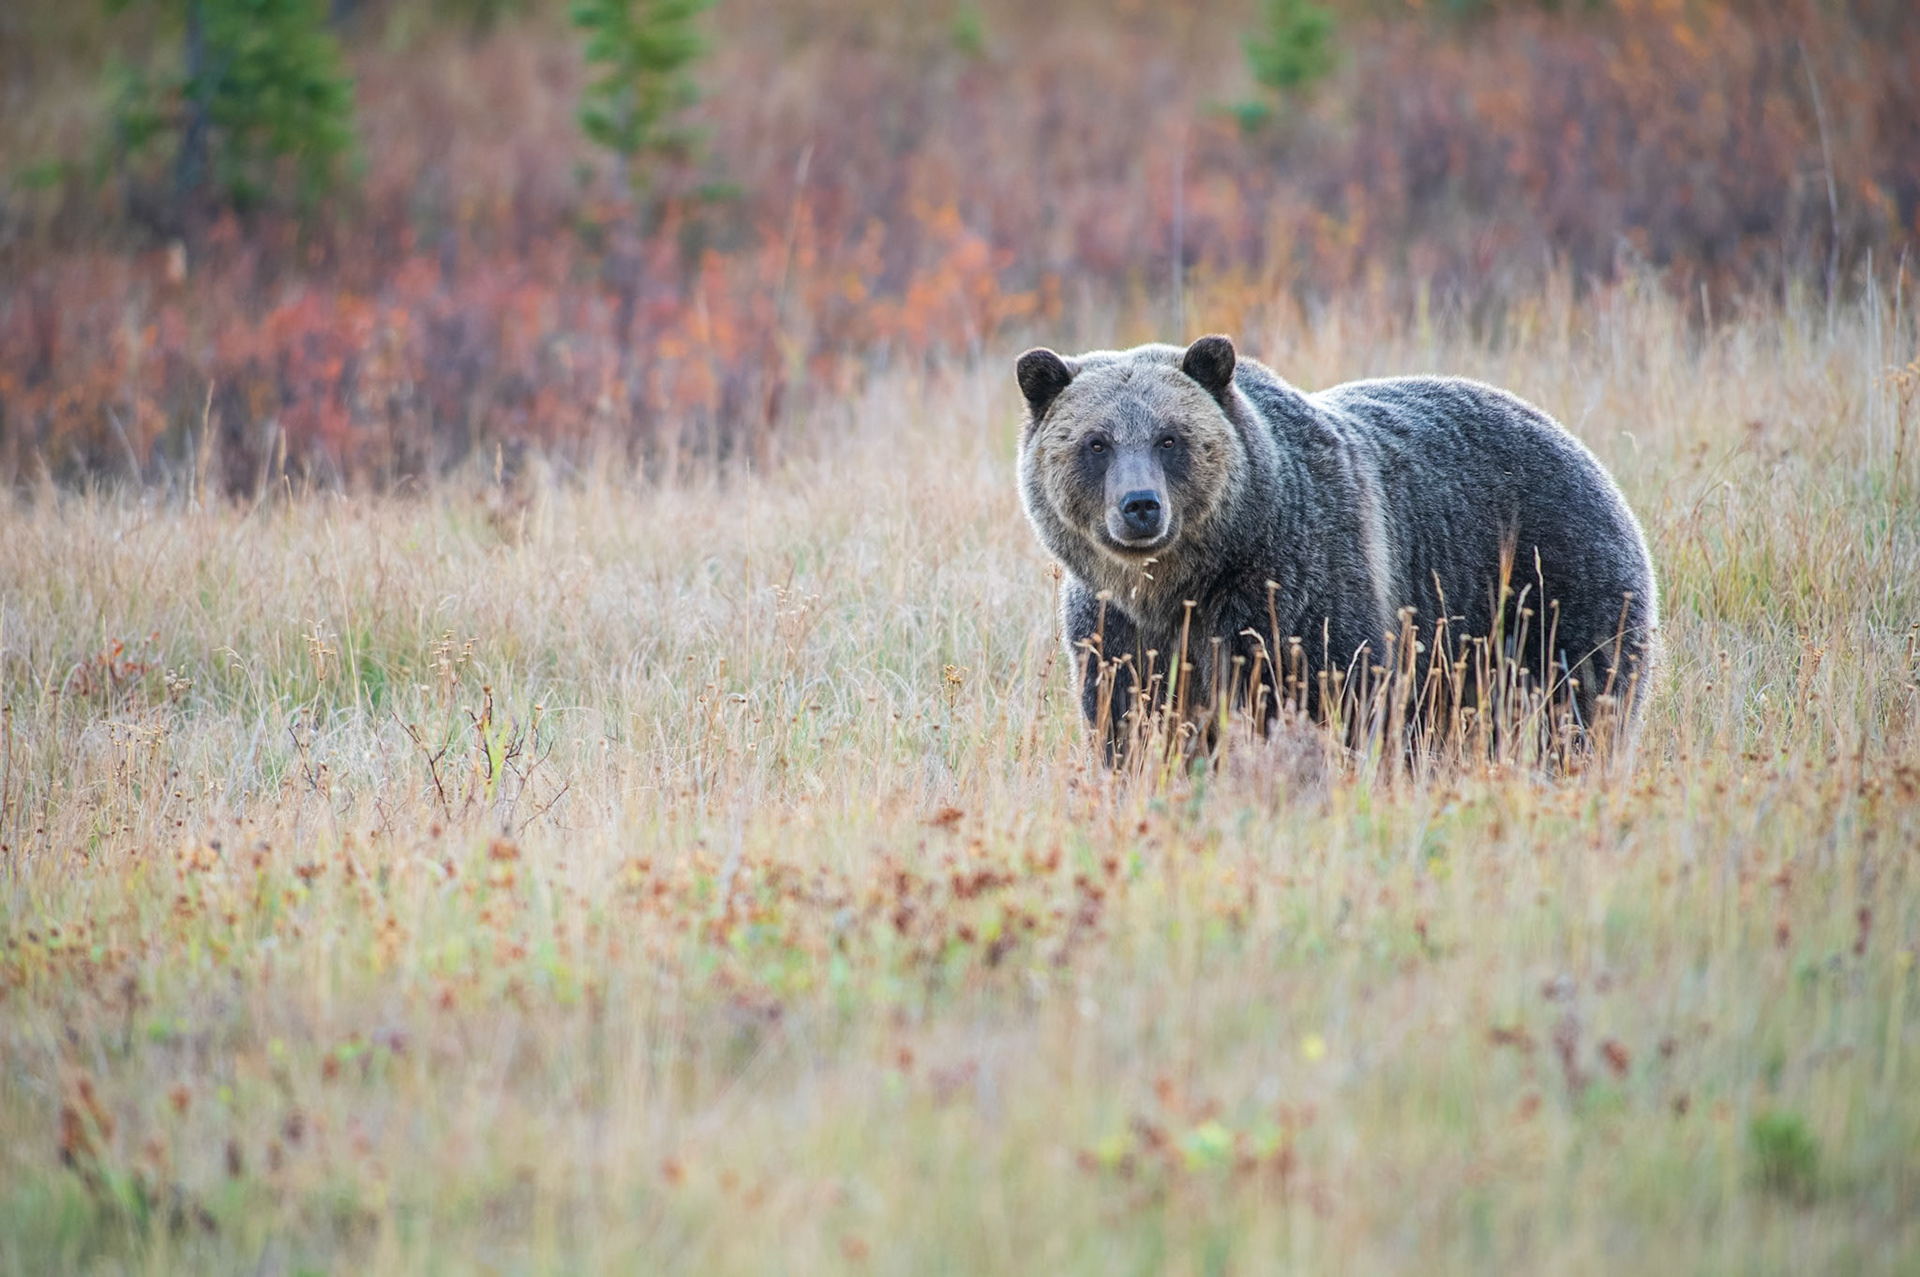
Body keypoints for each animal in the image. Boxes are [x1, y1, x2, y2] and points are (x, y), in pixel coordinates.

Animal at [1015, 334, 1659, 758]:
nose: (1141, 505)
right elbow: (1132, 718)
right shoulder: (1117, 628)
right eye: (1097, 443)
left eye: (1170, 438)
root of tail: (1581, 450)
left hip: (1548, 587)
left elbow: (1334, 695)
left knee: (1575, 702)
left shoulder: (1298, 590)